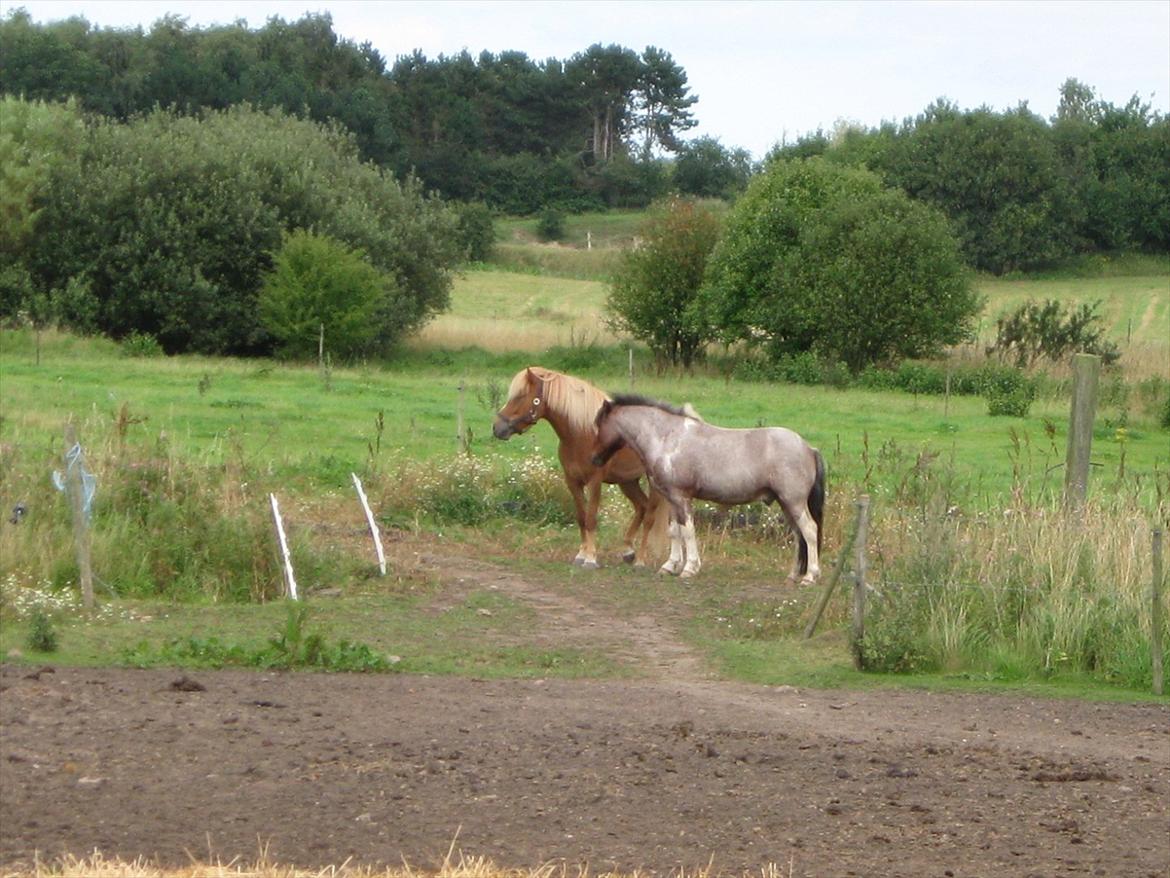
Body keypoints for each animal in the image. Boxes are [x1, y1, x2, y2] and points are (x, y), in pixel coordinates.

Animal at [489, 365, 664, 566]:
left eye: (520, 396)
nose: (497, 428)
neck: (583, 433)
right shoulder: (572, 481)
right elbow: (581, 517)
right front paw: (581, 554)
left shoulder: (594, 482)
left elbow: (591, 518)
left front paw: (591, 558)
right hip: (628, 481)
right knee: (641, 507)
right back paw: (628, 550)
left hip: (653, 483)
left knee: (650, 516)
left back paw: (640, 560)